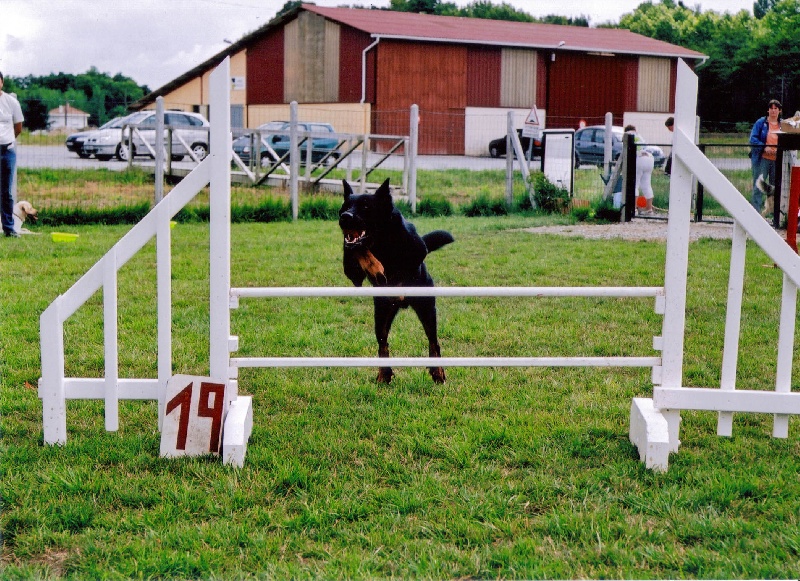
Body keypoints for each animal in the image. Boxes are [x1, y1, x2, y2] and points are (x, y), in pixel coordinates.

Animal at [338, 179, 454, 382]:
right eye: (345, 206)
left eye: (366, 207)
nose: (345, 216)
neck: (381, 240)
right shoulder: (352, 267)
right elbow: (360, 251)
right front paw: (375, 267)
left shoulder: (416, 249)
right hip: (381, 316)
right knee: (383, 343)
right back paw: (384, 374)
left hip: (427, 309)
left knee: (434, 341)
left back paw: (437, 372)